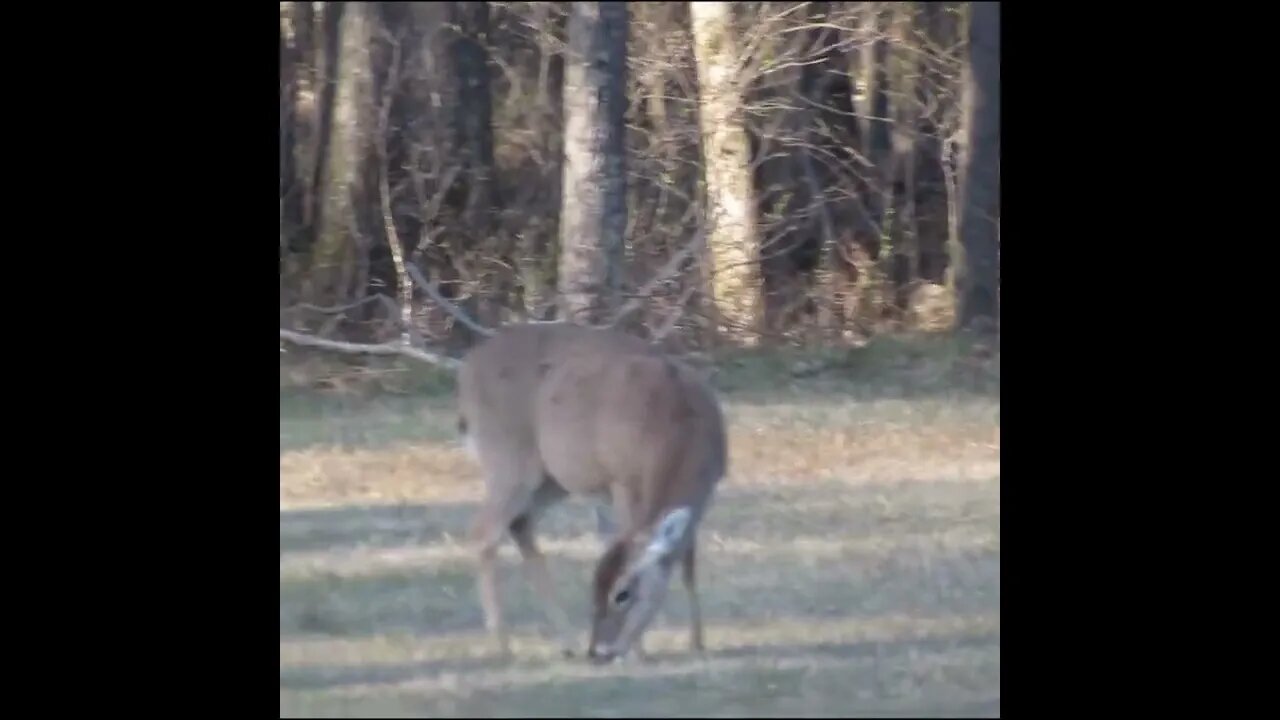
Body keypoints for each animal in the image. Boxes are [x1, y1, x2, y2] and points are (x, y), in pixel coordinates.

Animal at [455, 322, 727, 664]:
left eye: (622, 593)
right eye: (596, 587)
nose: (598, 651)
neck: (682, 427)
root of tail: (466, 369)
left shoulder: (707, 489)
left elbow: (687, 564)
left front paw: (697, 642)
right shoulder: (622, 480)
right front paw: (639, 651)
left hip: (550, 479)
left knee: (519, 525)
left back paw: (566, 642)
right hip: (507, 457)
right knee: (484, 532)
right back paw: (504, 644)